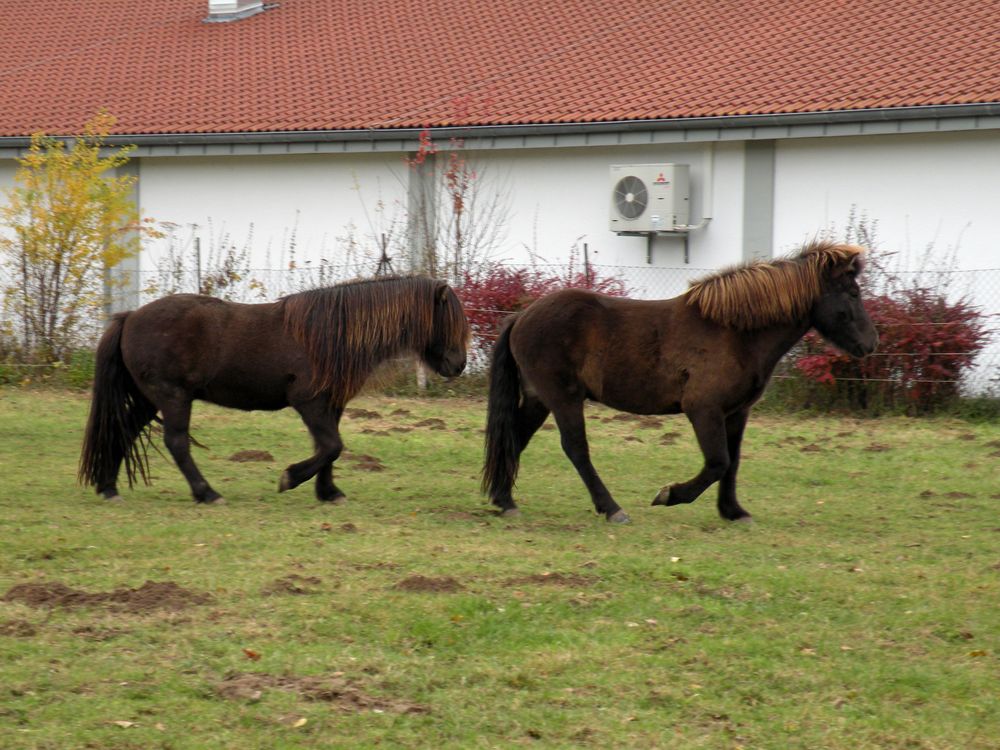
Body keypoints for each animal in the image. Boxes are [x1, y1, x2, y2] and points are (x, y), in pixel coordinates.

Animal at [80, 276, 470, 506]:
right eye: (448, 320)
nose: (459, 365)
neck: (331, 334)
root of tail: (130, 316)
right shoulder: (309, 401)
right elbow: (331, 446)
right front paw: (291, 478)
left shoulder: (330, 404)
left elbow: (329, 448)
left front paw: (328, 493)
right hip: (172, 397)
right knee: (176, 442)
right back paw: (207, 493)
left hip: (149, 399)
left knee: (123, 431)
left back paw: (109, 487)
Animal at [480, 241, 880, 524]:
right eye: (853, 294)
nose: (870, 343)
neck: (734, 332)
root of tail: (521, 317)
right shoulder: (703, 409)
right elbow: (717, 462)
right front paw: (670, 495)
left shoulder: (736, 413)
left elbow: (732, 462)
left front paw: (734, 512)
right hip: (563, 398)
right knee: (576, 449)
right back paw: (612, 509)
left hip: (539, 399)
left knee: (515, 439)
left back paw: (505, 501)